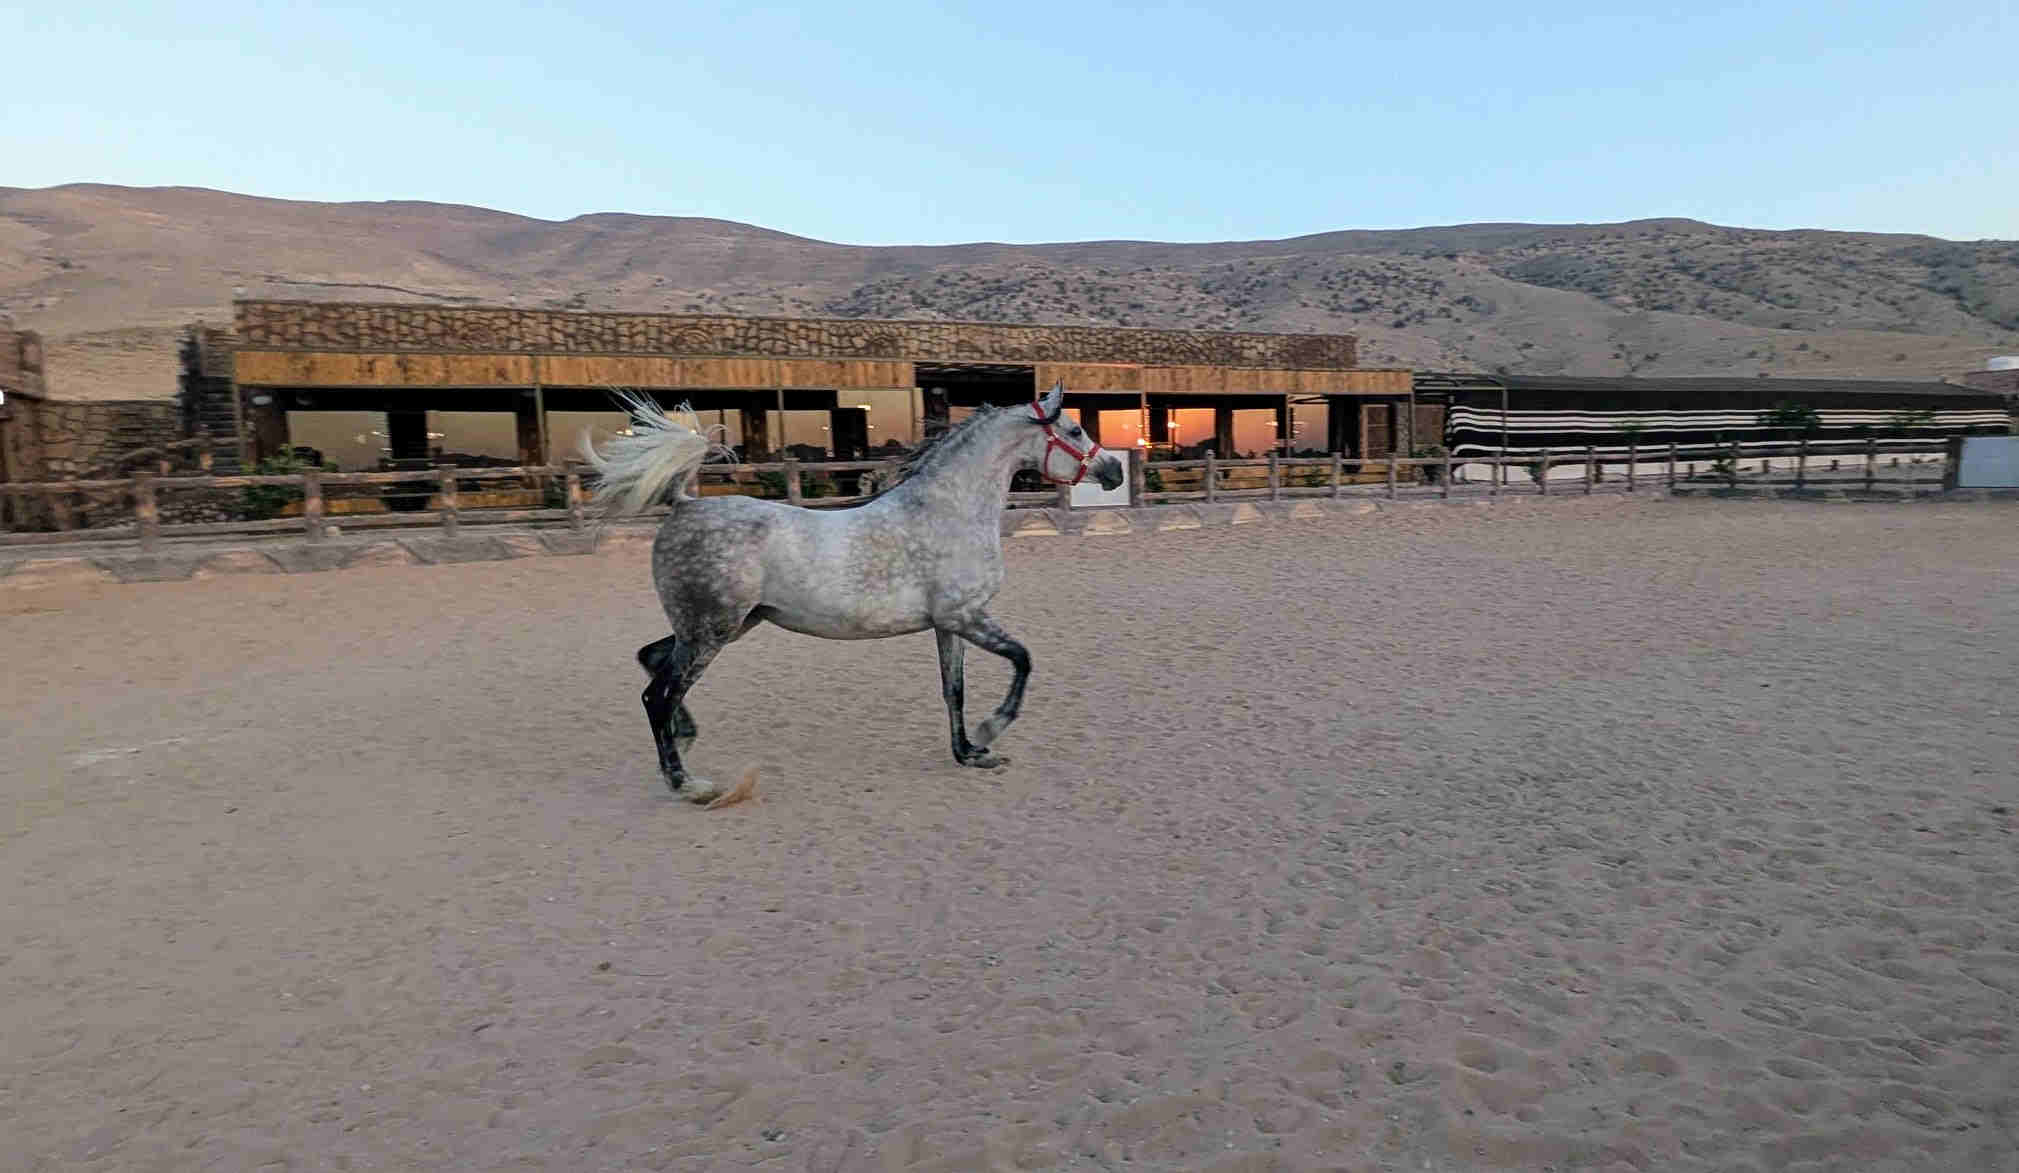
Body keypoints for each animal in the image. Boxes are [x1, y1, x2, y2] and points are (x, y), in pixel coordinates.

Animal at [581, 381, 1125, 803]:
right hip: (711, 632)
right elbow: (1023, 659)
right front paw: (993, 729)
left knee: (652, 662)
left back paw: (687, 741)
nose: (1114, 471)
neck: (948, 510)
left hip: (722, 626)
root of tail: (684, 504)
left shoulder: (948, 625)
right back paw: (688, 784)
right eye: (1075, 430)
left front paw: (970, 752)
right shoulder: (967, 616)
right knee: (658, 695)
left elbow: (954, 690)